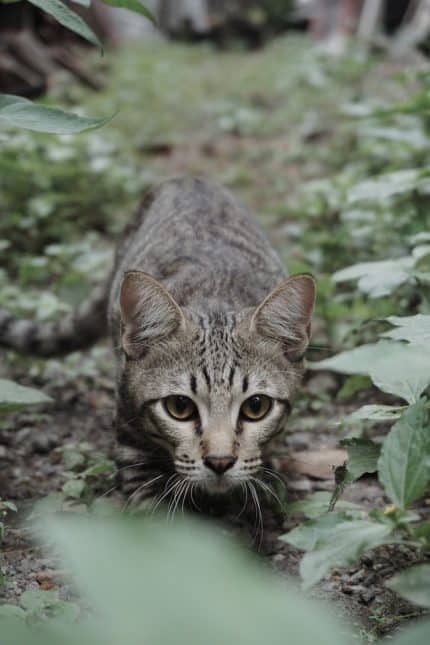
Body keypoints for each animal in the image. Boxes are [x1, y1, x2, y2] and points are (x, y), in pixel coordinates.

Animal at [0, 176, 316, 508]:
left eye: (256, 406)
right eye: (179, 406)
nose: (220, 461)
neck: (214, 296)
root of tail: (190, 178)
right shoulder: (129, 434)